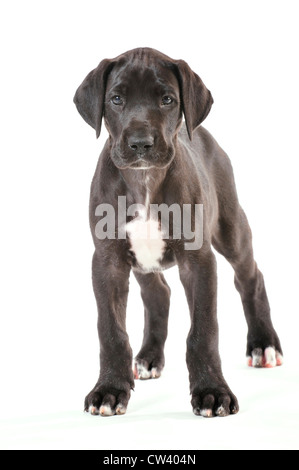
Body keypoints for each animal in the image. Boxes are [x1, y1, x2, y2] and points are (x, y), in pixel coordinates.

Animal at [74, 47, 284, 418]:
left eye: (167, 100)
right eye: (116, 99)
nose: (140, 143)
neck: (144, 181)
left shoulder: (198, 260)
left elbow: (203, 330)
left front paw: (212, 391)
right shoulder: (108, 261)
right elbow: (110, 330)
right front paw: (109, 390)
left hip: (231, 229)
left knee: (250, 276)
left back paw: (263, 344)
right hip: (141, 260)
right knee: (158, 293)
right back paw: (149, 358)